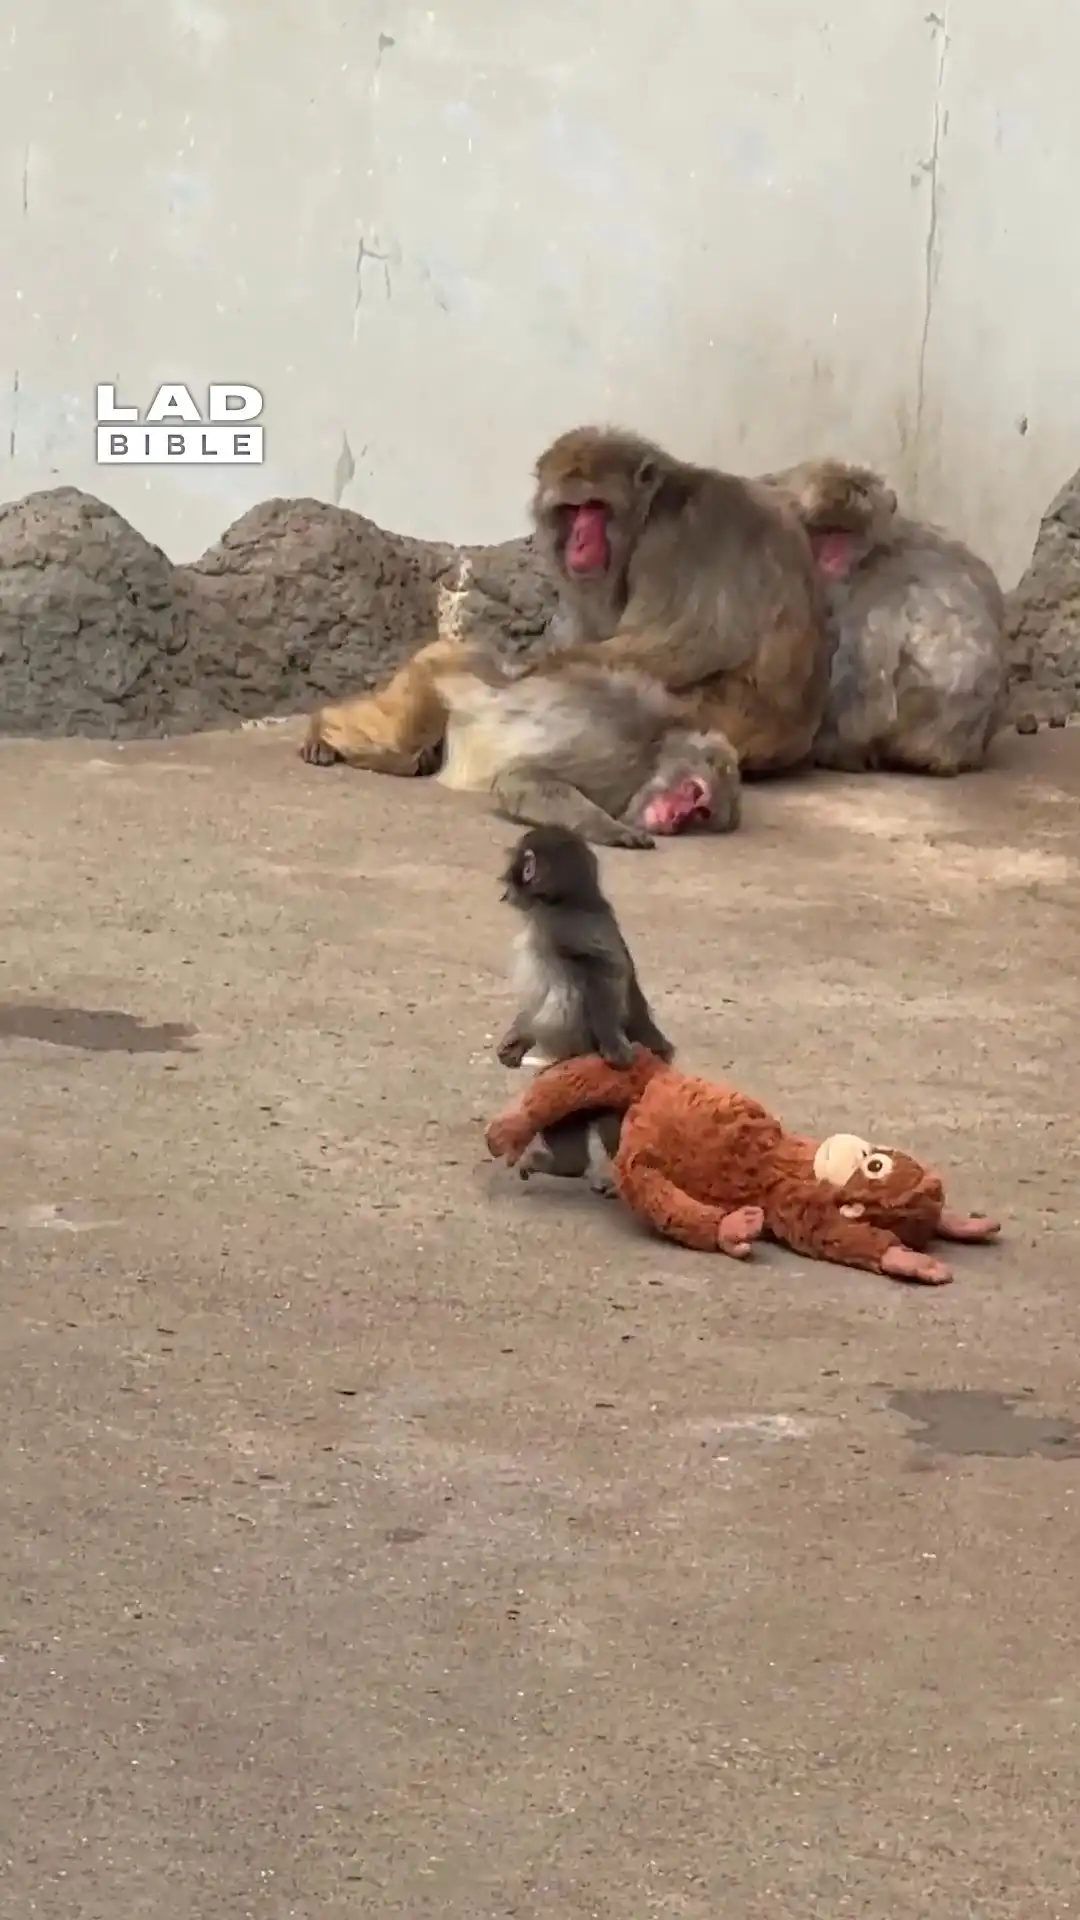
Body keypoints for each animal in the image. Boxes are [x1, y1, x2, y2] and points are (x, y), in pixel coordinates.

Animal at [435, 650, 741, 848]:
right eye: (695, 791)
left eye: (701, 815)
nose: (678, 818)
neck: (653, 753)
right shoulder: (613, 758)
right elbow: (521, 776)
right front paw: (612, 829)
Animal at [496, 823, 675, 1190]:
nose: (503, 887)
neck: (563, 900)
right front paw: (515, 1041)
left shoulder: (562, 923)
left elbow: (602, 969)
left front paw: (614, 1044)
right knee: (565, 1120)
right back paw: (568, 1165)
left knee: (614, 1125)